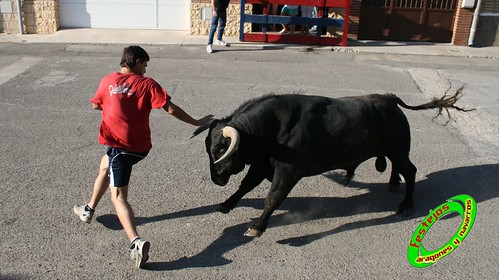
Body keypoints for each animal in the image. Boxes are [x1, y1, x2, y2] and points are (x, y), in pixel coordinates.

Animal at [191, 88, 472, 237]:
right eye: (208, 147)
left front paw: (257, 227)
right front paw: (226, 205)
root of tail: (389, 99)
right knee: (399, 168)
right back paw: (393, 185)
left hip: (399, 149)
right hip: (393, 151)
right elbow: (245, 186)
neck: (274, 126)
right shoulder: (263, 164)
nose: (216, 179)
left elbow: (273, 197)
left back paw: (406, 205)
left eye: (220, 148)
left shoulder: (288, 171)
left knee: (411, 171)